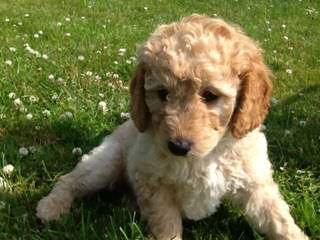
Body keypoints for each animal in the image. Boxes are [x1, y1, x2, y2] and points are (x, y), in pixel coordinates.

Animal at [36, 14, 308, 239]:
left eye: (210, 95)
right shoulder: (153, 182)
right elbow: (166, 224)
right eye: (162, 93)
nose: (178, 146)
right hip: (105, 161)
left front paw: (296, 235)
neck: (204, 156)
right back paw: (50, 207)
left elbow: (278, 219)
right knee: (71, 179)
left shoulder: (254, 182)